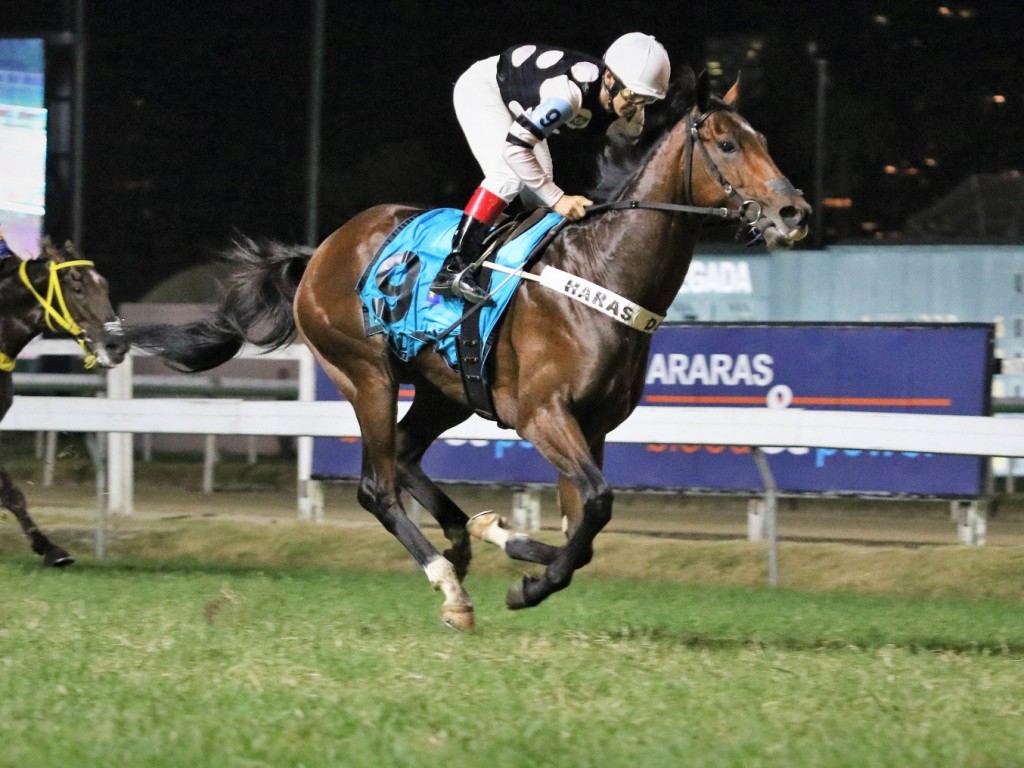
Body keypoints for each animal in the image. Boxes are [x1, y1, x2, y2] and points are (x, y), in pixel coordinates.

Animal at [121, 72, 806, 626]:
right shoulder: (541, 414)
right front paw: (530, 583)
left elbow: (585, 524)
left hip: (444, 388)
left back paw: (474, 534)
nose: (793, 211)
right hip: (364, 374)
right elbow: (595, 507)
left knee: (404, 452)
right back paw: (449, 584)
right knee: (376, 485)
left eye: (764, 139)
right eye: (727, 145)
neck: (600, 273)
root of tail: (319, 252)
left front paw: (521, 553)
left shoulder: (594, 425)